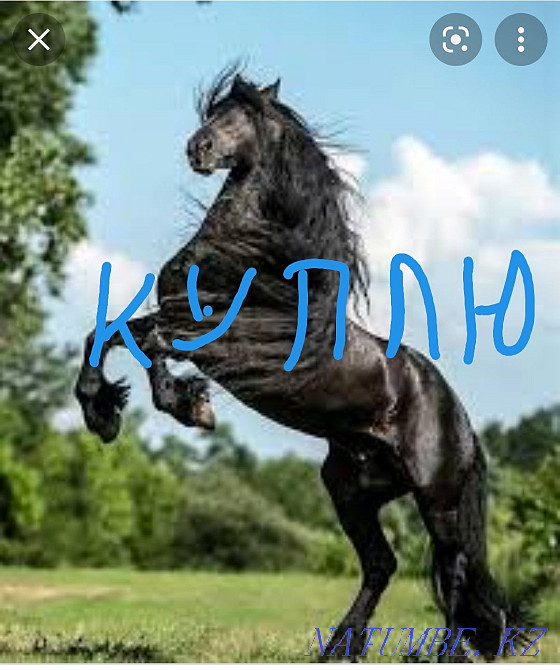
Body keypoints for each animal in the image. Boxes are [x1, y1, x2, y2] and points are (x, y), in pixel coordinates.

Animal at [76, 68, 523, 661]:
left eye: (242, 116)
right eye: (214, 112)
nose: (198, 149)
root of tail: (463, 422)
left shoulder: (216, 339)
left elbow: (145, 345)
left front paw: (188, 406)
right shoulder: (180, 321)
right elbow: (108, 333)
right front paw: (104, 414)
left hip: (437, 497)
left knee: (455, 571)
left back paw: (435, 654)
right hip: (351, 488)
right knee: (383, 565)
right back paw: (339, 647)